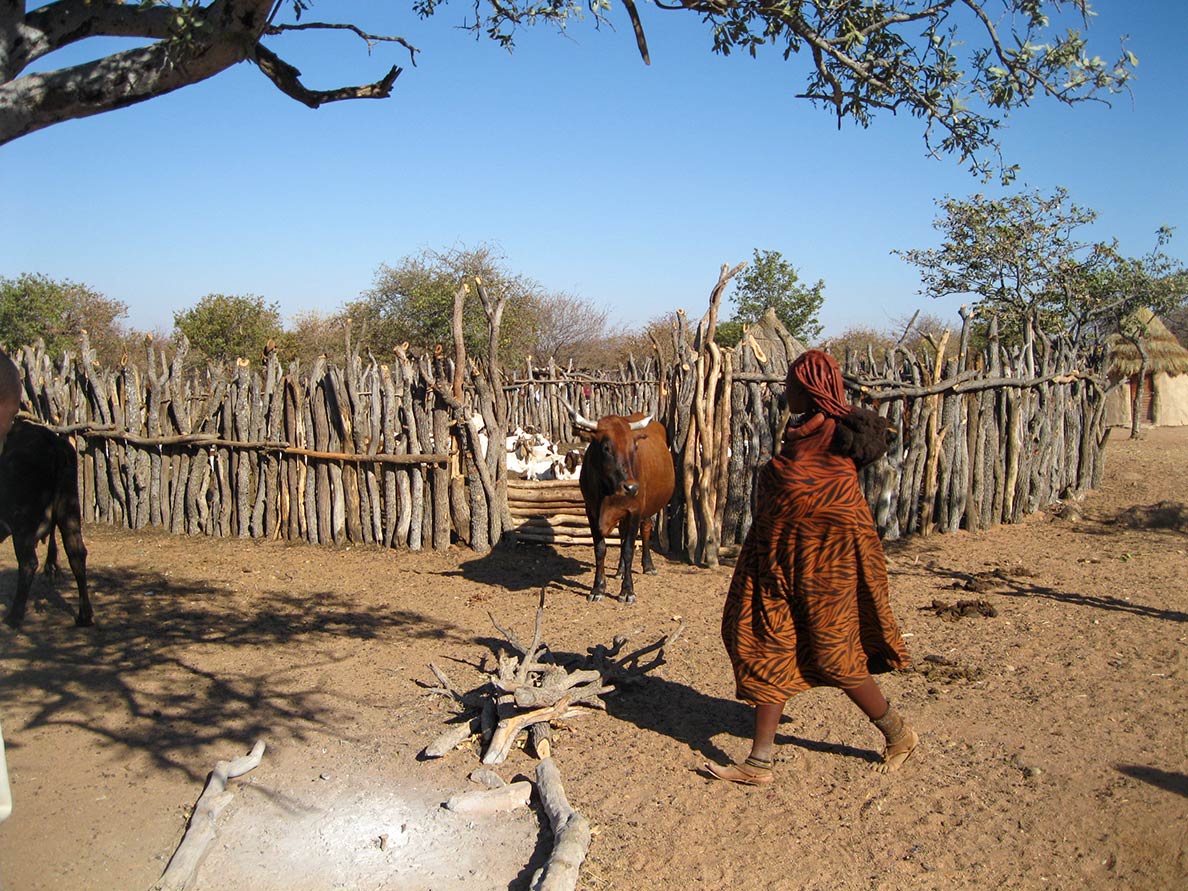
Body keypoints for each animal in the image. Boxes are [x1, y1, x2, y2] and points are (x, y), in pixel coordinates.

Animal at [0, 418, 90, 627]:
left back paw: (14, 616)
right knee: (76, 553)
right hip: (69, 508)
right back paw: (84, 616)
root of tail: (51, 440)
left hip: (22, 523)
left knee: (28, 563)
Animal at [567, 406, 674, 608]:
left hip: (648, 508)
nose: (631, 487)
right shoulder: (591, 511)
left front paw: (627, 591)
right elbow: (600, 549)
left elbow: (629, 550)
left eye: (634, 447)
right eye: (606, 447)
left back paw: (648, 566)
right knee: (623, 536)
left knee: (645, 530)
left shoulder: (634, 511)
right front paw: (598, 588)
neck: (608, 493)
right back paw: (620, 570)